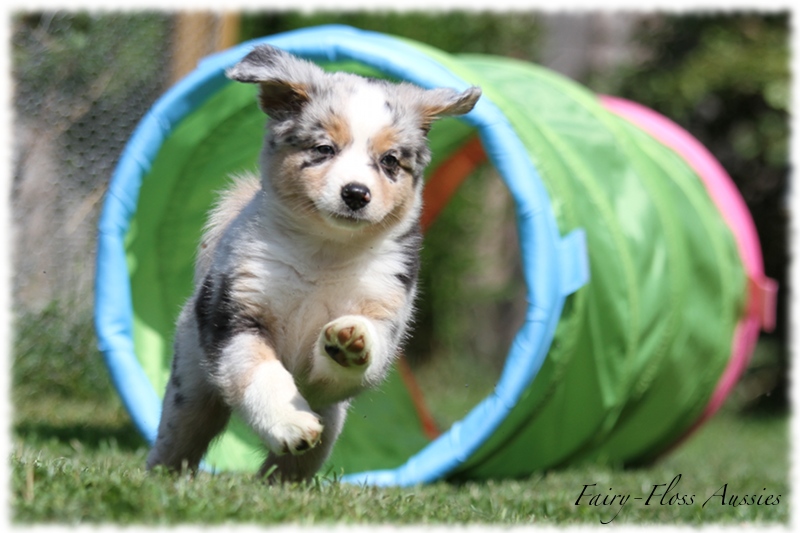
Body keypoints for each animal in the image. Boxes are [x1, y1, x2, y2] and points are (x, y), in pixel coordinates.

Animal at [145, 43, 482, 480]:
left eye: (390, 161)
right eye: (324, 149)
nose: (356, 193)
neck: (325, 251)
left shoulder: (384, 313)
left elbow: (357, 355)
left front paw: (350, 342)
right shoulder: (235, 317)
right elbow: (261, 372)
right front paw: (290, 424)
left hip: (332, 427)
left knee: (292, 467)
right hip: (190, 387)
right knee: (178, 441)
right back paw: (162, 477)